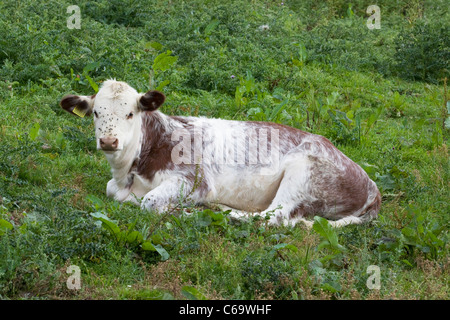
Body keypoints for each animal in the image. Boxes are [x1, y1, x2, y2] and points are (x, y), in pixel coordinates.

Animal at [59, 81, 380, 229]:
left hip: (303, 170)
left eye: (130, 113)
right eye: (96, 113)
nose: (109, 141)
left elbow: (149, 202)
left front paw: (181, 210)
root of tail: (372, 186)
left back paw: (217, 211)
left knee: (273, 217)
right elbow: (112, 190)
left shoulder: (195, 180)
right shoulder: (117, 185)